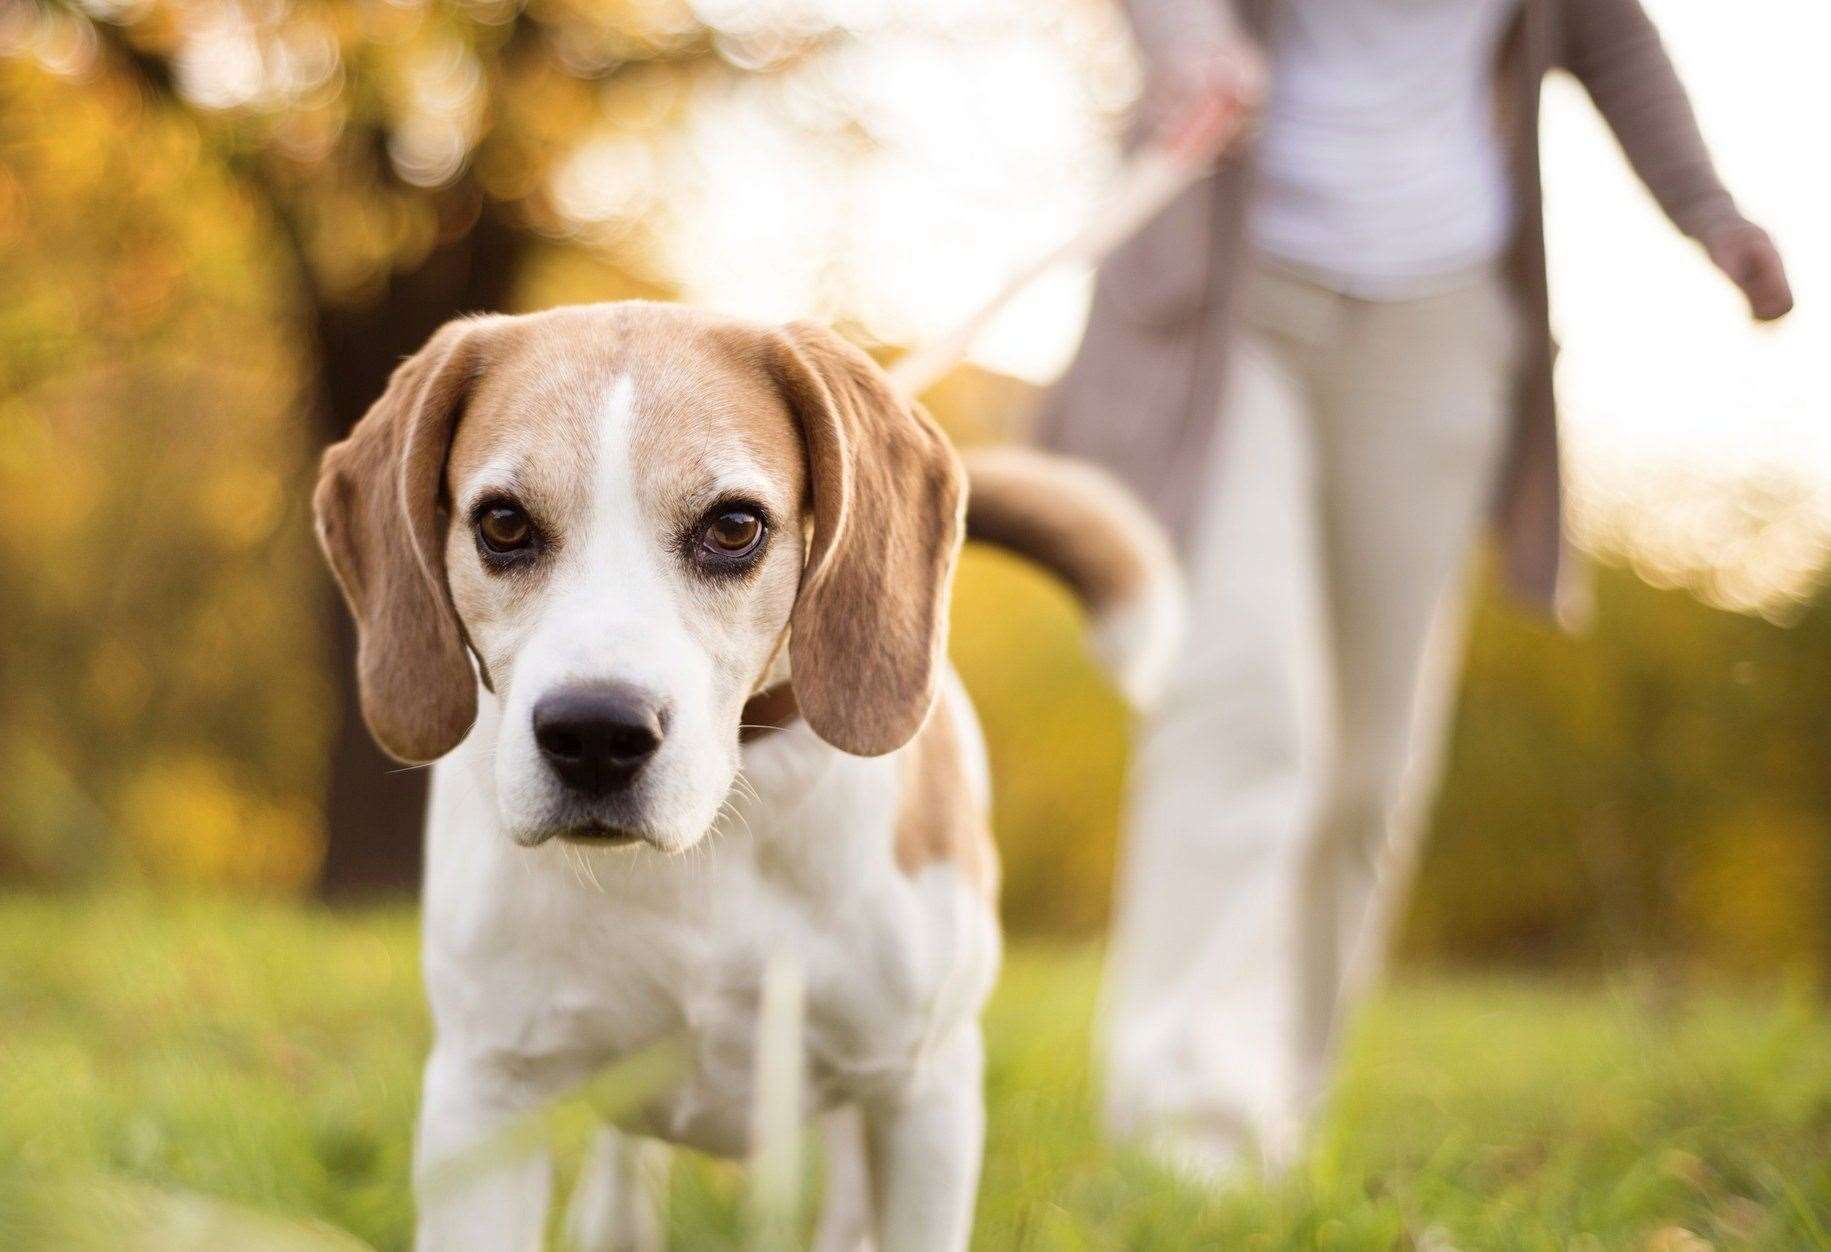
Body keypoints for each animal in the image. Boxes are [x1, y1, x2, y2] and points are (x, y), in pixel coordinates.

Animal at [314, 303, 1179, 1252]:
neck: (715, 837)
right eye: (503, 524)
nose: (594, 734)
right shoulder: (485, 1097)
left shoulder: (925, 1096)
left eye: (733, 527)